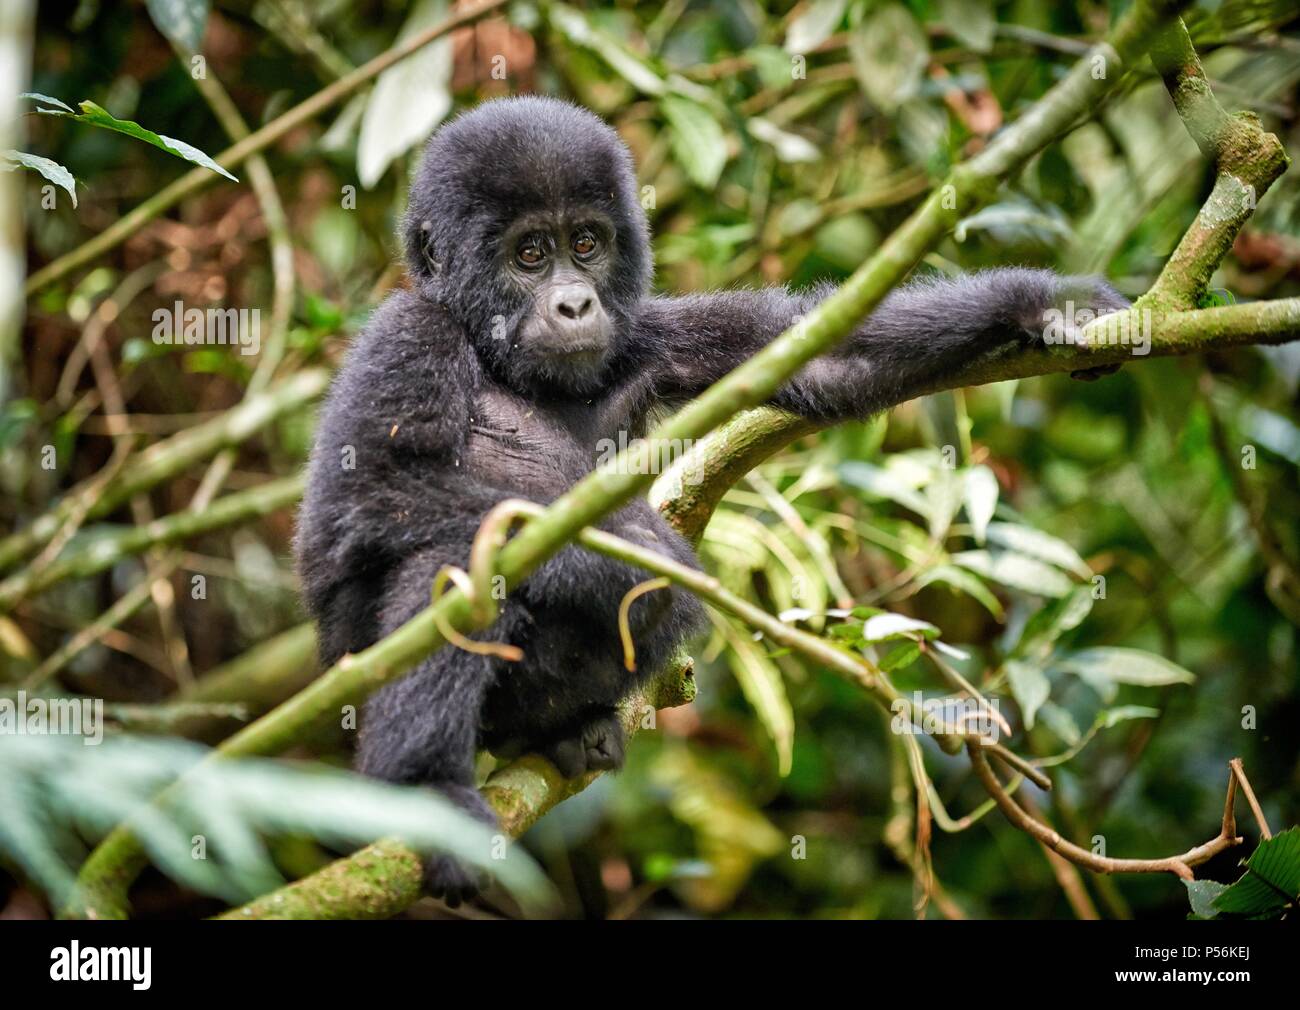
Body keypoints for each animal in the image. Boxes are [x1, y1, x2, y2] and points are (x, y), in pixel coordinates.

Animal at [297, 94, 1128, 904]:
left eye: (587, 244)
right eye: (529, 255)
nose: (575, 305)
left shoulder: (645, 337)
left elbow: (828, 357)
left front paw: (1044, 303)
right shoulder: (409, 330)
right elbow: (368, 491)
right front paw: (642, 551)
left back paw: (559, 732)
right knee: (454, 565)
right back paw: (429, 789)